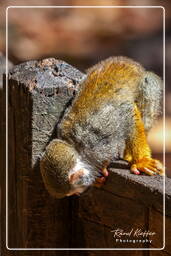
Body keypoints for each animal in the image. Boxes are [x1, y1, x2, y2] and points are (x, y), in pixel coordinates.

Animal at [39, 57, 163, 199]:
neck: (76, 147)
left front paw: (142, 161)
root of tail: (127, 61)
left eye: (74, 192)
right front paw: (98, 176)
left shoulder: (100, 132)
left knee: (148, 85)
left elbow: (128, 112)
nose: (78, 194)